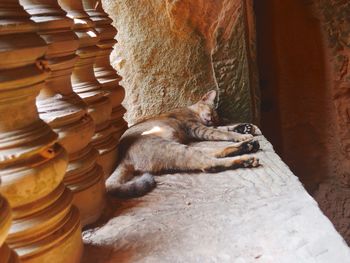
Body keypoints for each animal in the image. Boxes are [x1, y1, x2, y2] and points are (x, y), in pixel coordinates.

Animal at [108, 91, 262, 198]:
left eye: (215, 117)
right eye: (211, 111)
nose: (211, 119)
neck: (192, 111)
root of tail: (123, 157)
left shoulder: (202, 127)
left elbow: (224, 128)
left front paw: (246, 128)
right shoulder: (197, 128)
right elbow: (222, 132)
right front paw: (243, 134)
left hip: (181, 148)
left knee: (212, 154)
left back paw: (248, 146)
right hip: (173, 148)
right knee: (209, 163)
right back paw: (247, 157)